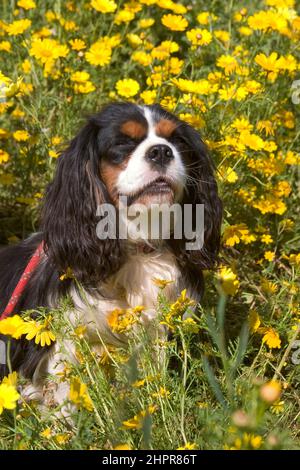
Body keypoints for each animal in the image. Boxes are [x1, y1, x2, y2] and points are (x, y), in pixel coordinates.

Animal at [0, 102, 220, 404]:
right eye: (122, 143)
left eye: (176, 141)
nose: (161, 151)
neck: (137, 248)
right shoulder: (64, 340)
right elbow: (66, 392)